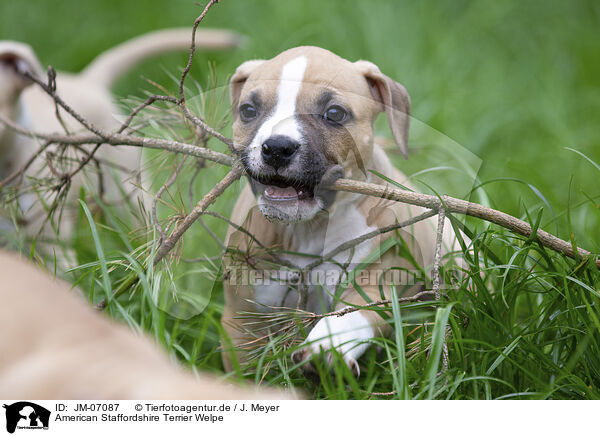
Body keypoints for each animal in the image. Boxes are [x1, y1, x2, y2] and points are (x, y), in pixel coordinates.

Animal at [220, 46, 460, 374]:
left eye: (334, 113)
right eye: (248, 110)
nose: (277, 148)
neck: (309, 229)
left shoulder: (376, 283)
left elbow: (351, 315)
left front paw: (324, 348)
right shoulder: (241, 322)